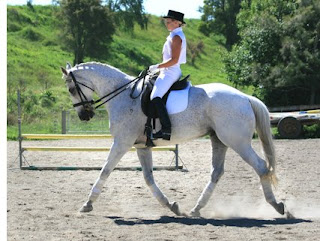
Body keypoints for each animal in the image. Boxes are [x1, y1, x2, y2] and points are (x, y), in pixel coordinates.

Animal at [60, 61, 284, 217]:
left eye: (71, 89)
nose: (84, 115)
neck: (123, 96)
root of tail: (245, 97)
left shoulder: (122, 142)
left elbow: (105, 170)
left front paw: (87, 204)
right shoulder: (141, 147)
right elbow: (148, 178)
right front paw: (172, 206)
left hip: (237, 142)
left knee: (261, 166)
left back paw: (277, 205)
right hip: (219, 140)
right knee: (216, 172)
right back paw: (196, 209)